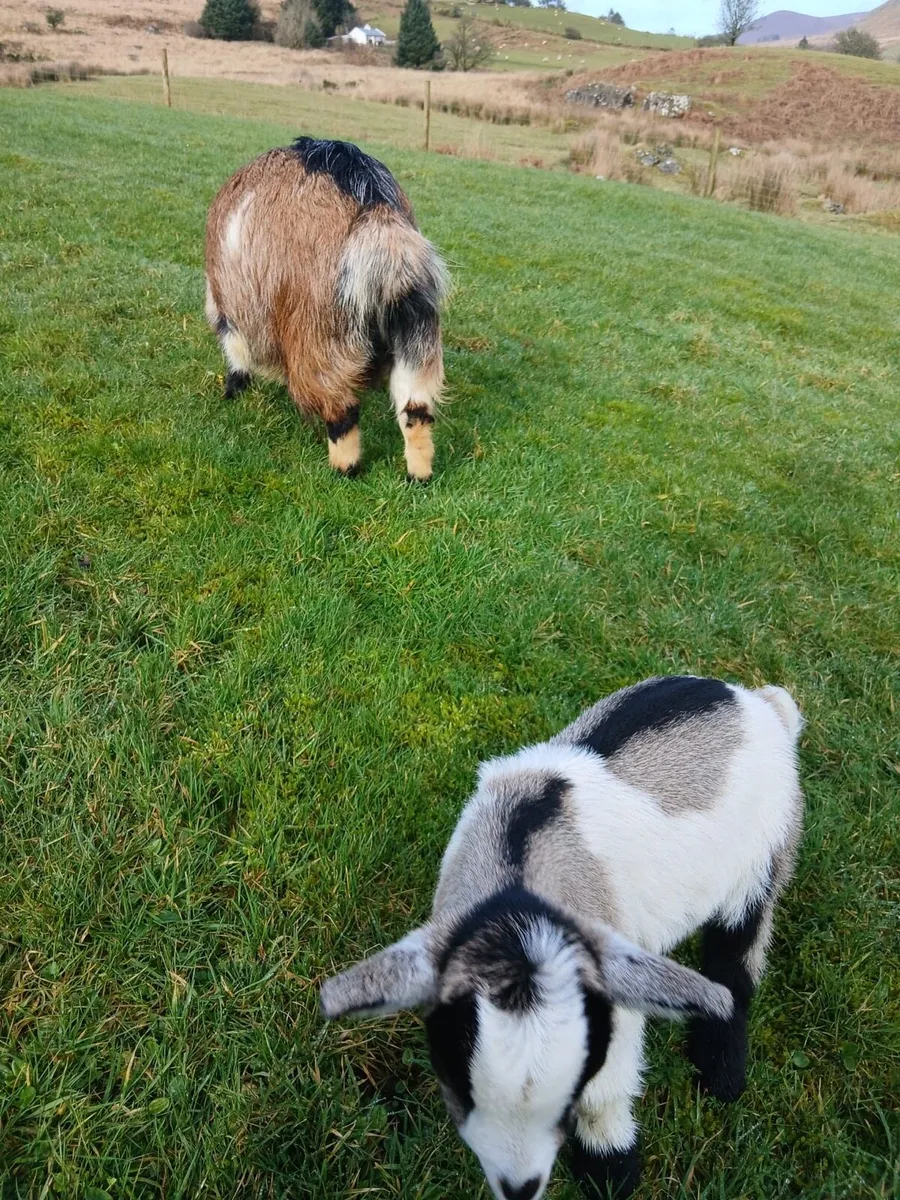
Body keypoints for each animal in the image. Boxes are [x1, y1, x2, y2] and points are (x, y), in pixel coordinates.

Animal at [205, 137, 447, 480]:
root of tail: (378, 216)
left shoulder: (231, 308)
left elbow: (236, 353)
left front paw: (232, 390)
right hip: (415, 330)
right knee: (416, 409)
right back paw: (418, 476)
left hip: (321, 335)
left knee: (341, 410)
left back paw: (344, 468)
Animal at [321, 675, 804, 1200]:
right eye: (460, 1085)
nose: (519, 1186)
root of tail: (757, 701)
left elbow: (607, 1087)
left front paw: (611, 1171)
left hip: (765, 858)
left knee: (735, 960)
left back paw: (721, 1073)